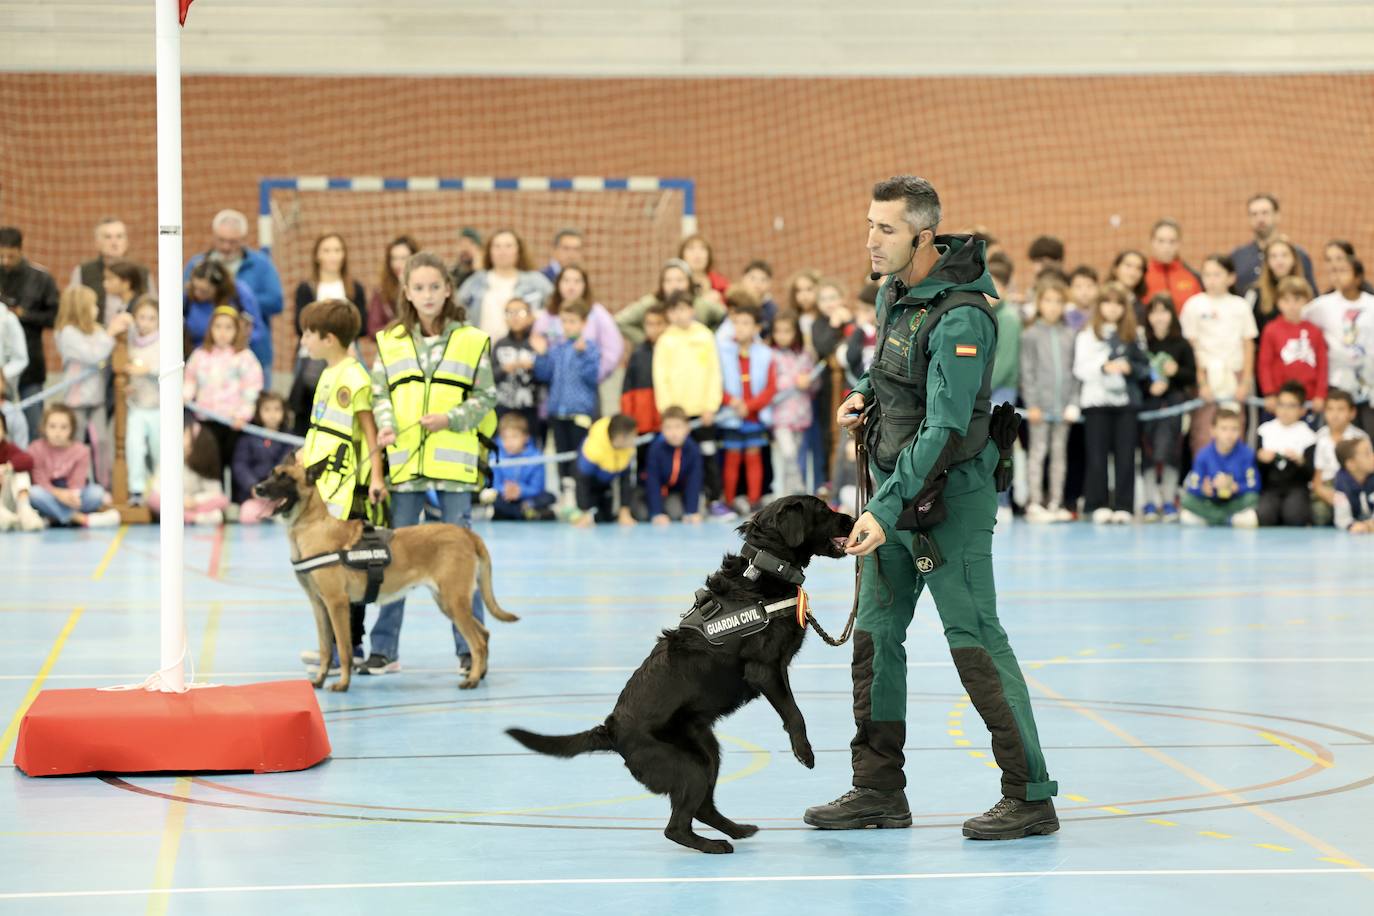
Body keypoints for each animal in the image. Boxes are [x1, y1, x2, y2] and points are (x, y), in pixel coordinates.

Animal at [252, 461, 516, 692]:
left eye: (285, 477)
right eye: (271, 473)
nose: (257, 488)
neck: (312, 526)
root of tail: (466, 533)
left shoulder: (337, 604)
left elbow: (345, 649)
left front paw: (343, 684)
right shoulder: (319, 606)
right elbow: (326, 649)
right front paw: (319, 680)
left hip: (454, 601)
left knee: (477, 642)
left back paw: (472, 680)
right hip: (447, 603)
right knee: (484, 633)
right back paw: (480, 674)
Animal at [508, 497, 846, 856]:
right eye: (823, 511)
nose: (853, 520)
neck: (763, 568)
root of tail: (610, 730)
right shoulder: (766, 670)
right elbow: (794, 713)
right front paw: (804, 751)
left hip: (707, 752)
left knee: (701, 808)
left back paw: (736, 830)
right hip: (688, 766)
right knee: (677, 826)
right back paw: (713, 845)